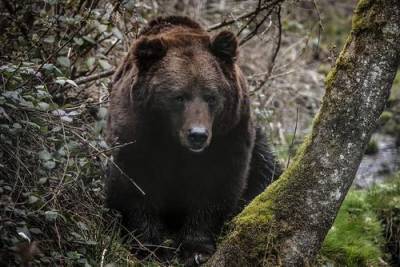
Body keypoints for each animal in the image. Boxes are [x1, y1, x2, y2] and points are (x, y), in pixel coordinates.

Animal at [106, 16, 282, 266]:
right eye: (178, 97)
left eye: (211, 96)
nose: (197, 134)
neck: (174, 141)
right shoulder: (137, 131)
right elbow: (136, 183)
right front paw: (150, 247)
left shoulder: (228, 135)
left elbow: (216, 186)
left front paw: (196, 249)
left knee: (266, 172)